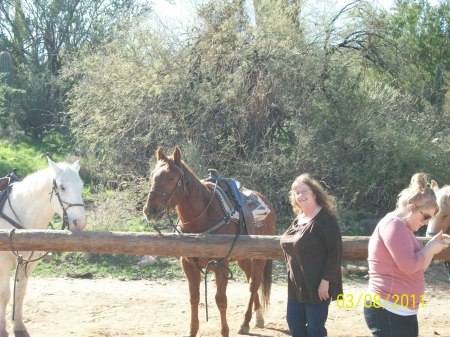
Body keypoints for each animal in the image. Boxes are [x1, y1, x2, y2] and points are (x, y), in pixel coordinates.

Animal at [0, 158, 87, 336]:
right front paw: (2, 329)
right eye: (62, 187)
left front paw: (19, 326)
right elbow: (5, 294)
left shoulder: (28, 262)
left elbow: (20, 292)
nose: (80, 223)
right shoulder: (3, 261)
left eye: (81, 186)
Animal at [144, 147, 276, 336]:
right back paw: (257, 318)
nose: (150, 211)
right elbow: (194, 298)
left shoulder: (221, 265)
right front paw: (192, 331)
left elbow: (221, 300)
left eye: (171, 178)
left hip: (260, 258)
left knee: (254, 284)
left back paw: (245, 322)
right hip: (243, 258)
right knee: (251, 279)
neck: (204, 216)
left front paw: (224, 331)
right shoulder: (189, 265)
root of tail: (267, 203)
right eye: (152, 176)